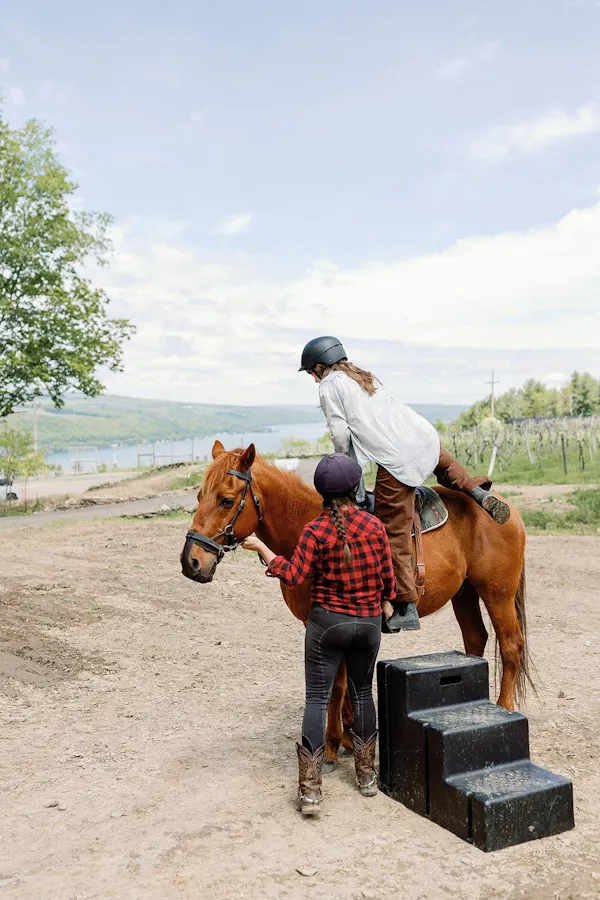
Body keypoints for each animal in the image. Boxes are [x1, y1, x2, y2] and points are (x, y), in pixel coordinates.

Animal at [180, 441, 532, 768]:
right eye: (199, 497)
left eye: (226, 500)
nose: (191, 562)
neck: (310, 529)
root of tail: (508, 510)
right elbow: (347, 680)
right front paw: (350, 736)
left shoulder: (332, 622)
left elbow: (336, 683)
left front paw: (332, 743)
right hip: (465, 593)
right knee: (475, 639)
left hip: (496, 593)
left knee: (511, 645)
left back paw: (503, 707)